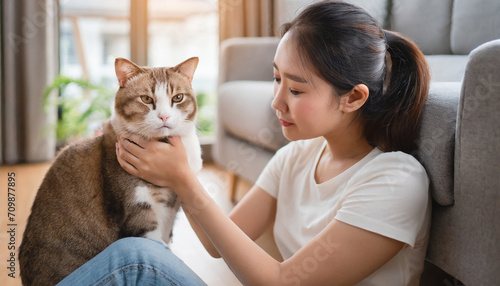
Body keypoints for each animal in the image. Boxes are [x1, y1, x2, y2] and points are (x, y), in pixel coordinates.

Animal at [19, 57, 203, 284]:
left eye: (178, 98)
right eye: (146, 98)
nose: (164, 117)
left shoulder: (174, 206)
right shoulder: (139, 211)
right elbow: (154, 241)